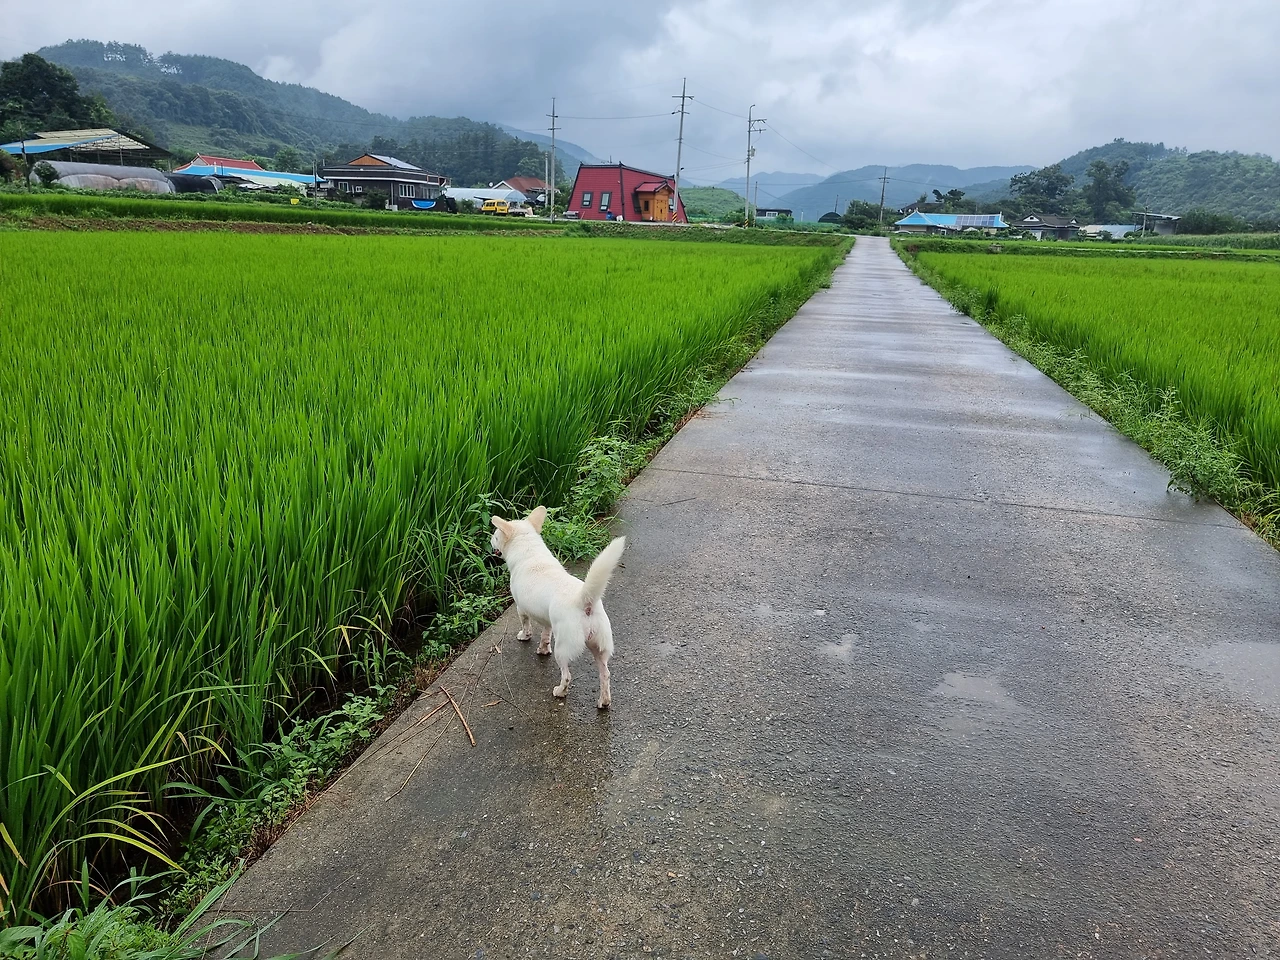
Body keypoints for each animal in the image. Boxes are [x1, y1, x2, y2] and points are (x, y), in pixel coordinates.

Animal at [490, 506, 626, 709]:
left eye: (496, 536)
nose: (490, 540)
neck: (530, 552)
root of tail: (585, 601)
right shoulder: (548, 622)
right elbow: (545, 636)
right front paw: (542, 650)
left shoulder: (521, 608)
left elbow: (526, 625)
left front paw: (524, 636)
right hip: (599, 648)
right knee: (605, 674)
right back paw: (604, 701)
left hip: (563, 650)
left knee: (567, 676)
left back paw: (560, 692)